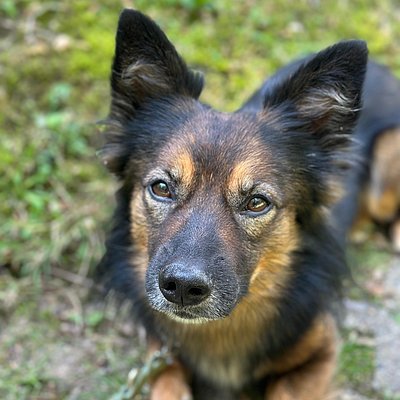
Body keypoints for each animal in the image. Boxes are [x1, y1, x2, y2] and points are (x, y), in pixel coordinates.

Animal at [97, 9, 367, 400]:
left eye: (256, 202)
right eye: (161, 188)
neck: (222, 327)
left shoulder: (321, 351)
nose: (182, 288)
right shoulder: (160, 350)